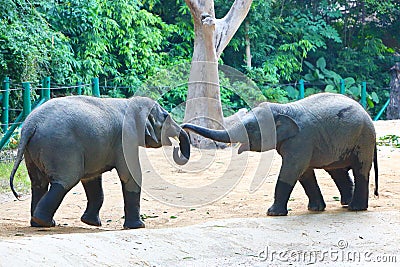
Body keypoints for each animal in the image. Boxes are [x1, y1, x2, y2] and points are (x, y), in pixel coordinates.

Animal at [9, 95, 191, 229]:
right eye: (166, 116)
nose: (176, 148)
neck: (129, 102)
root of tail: (30, 125)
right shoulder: (125, 139)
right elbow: (130, 174)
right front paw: (138, 227)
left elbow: (92, 180)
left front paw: (91, 223)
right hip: (61, 147)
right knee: (66, 181)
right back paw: (44, 222)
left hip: (32, 151)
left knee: (38, 184)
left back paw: (38, 223)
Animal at [181, 93, 378, 217]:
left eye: (250, 127)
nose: (183, 127)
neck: (283, 109)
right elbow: (304, 173)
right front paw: (315, 209)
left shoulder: (301, 140)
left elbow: (291, 170)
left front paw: (272, 213)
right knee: (337, 171)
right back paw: (345, 204)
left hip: (364, 140)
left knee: (360, 170)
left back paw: (355, 208)